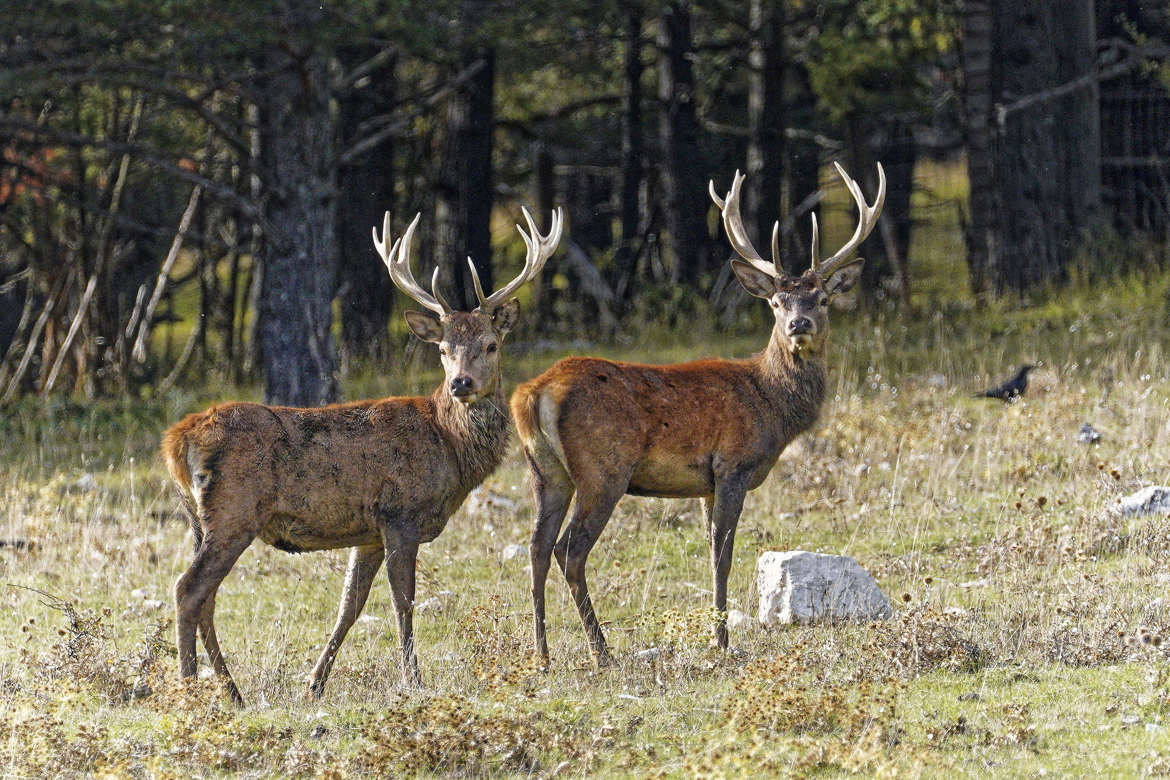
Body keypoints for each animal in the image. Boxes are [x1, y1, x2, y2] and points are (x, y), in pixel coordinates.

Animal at [161, 205, 561, 701]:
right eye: (443, 349)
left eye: (490, 344)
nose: (461, 383)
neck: (448, 444)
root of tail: (175, 440)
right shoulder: (400, 515)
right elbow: (403, 601)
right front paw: (414, 680)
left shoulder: (368, 531)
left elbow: (350, 605)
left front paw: (314, 684)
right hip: (234, 511)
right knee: (188, 590)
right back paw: (190, 687)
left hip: (200, 520)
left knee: (207, 599)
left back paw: (232, 691)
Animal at [507, 164, 879, 664]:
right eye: (776, 303)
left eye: (821, 300)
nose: (797, 325)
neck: (770, 402)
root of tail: (531, 393)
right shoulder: (733, 465)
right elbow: (723, 556)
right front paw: (721, 641)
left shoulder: (704, 484)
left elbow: (708, 551)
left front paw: (717, 631)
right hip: (603, 469)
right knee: (570, 550)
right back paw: (601, 651)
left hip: (546, 473)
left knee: (537, 547)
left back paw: (543, 654)